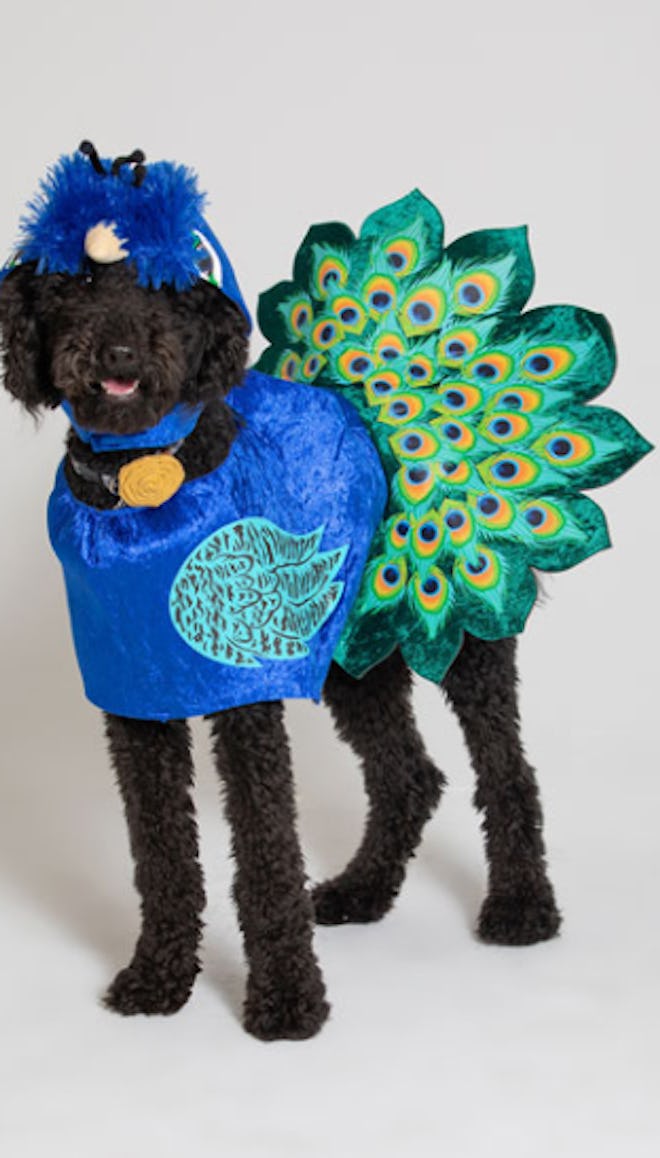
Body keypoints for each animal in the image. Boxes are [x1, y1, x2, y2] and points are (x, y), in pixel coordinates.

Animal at [0, 246, 558, 1042]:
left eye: (167, 288)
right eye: (75, 281)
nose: (121, 353)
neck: (147, 482)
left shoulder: (247, 698)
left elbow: (266, 850)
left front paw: (289, 999)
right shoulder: (135, 703)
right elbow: (160, 853)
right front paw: (157, 977)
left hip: (465, 630)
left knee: (507, 770)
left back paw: (521, 904)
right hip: (352, 653)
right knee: (409, 776)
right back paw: (362, 890)